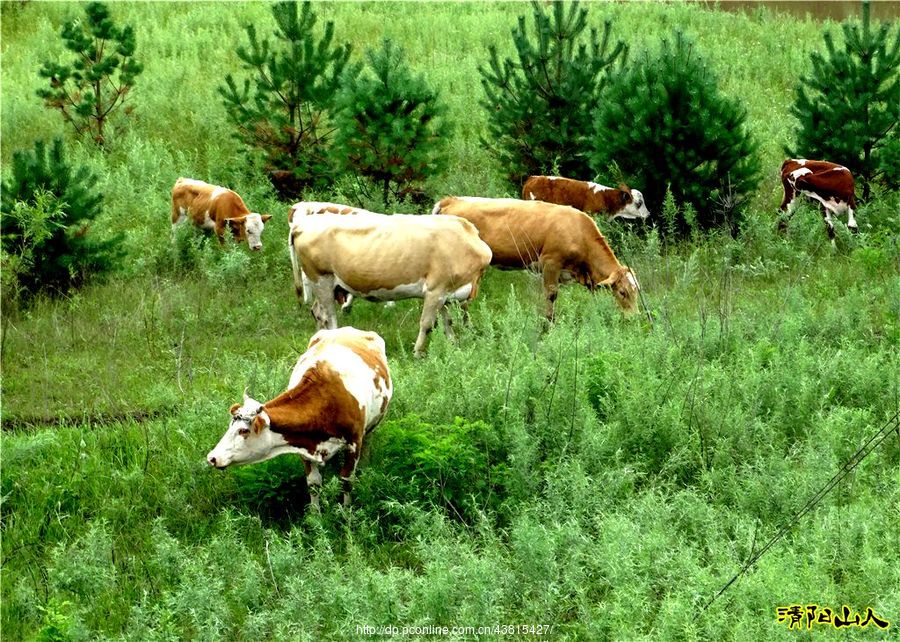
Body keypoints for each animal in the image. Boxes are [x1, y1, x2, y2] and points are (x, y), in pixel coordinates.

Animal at [209, 328, 396, 508]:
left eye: (243, 431)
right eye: (230, 426)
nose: (212, 458)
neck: (325, 402)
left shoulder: (354, 443)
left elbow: (346, 481)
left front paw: (346, 513)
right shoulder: (302, 445)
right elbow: (314, 484)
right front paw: (315, 516)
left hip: (372, 426)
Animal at [290, 211, 492, 356]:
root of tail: (302, 223)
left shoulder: (445, 292)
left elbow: (447, 321)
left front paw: (453, 346)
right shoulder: (436, 289)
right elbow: (427, 324)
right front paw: (417, 354)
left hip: (326, 284)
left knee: (317, 312)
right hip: (321, 278)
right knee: (328, 317)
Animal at [430, 192, 636, 318]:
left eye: (637, 291)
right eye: (622, 292)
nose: (634, 318)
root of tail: (452, 200)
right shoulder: (551, 263)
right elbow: (550, 298)